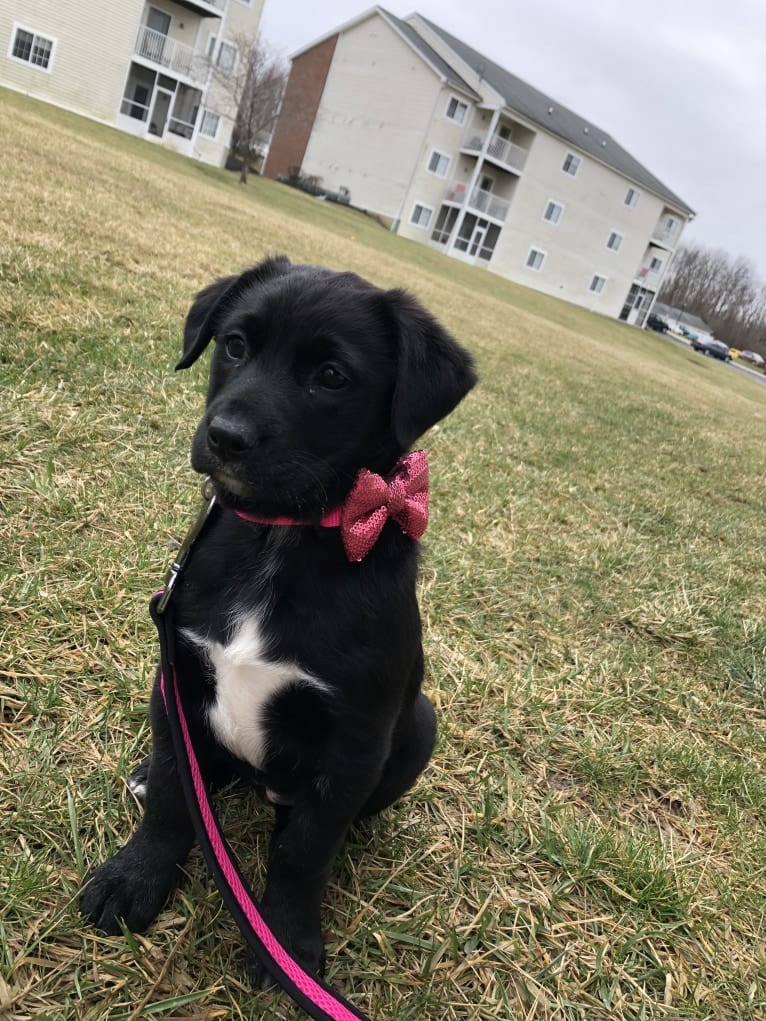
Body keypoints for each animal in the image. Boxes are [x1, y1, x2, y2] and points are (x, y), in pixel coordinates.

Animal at [81, 253, 477, 980]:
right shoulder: (176, 671)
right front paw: (135, 877)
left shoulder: (351, 742)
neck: (280, 537)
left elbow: (304, 853)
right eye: (235, 344)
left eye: (332, 376)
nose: (224, 437)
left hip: (419, 724)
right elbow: (176, 798)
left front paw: (286, 941)